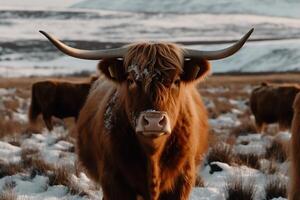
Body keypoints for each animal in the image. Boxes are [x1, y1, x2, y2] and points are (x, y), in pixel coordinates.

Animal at [40, 28, 253, 200]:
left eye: (176, 80)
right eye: (131, 79)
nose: (153, 121)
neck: (153, 156)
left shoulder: (181, 182)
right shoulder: (114, 183)